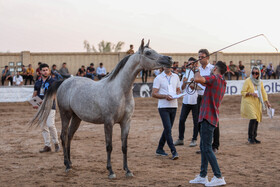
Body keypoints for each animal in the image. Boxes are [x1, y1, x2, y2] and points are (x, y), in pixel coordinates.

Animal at [29, 39, 173, 178]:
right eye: (148, 53)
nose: (169, 59)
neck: (120, 91)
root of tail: (64, 82)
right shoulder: (108, 123)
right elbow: (109, 146)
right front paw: (111, 171)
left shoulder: (126, 122)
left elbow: (124, 146)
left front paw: (127, 170)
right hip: (66, 114)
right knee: (64, 136)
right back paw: (67, 165)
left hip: (76, 118)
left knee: (69, 136)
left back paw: (70, 162)